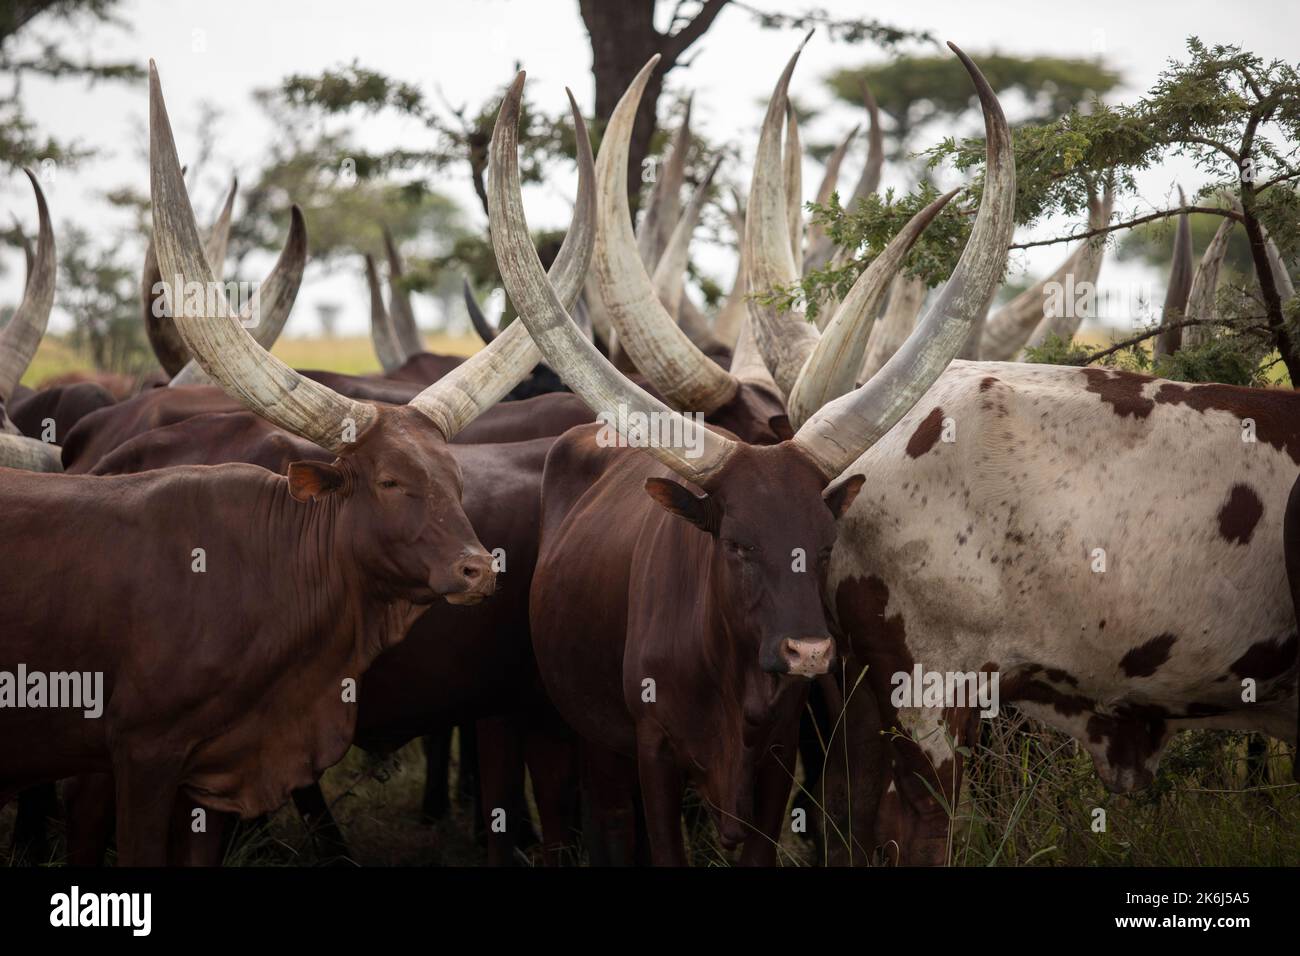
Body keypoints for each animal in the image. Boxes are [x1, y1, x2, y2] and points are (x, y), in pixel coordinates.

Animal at [488, 44, 1013, 868]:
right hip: (592, 736)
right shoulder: (653, 754)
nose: (808, 653)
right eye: (734, 544)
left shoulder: (776, 761)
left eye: (826, 545)